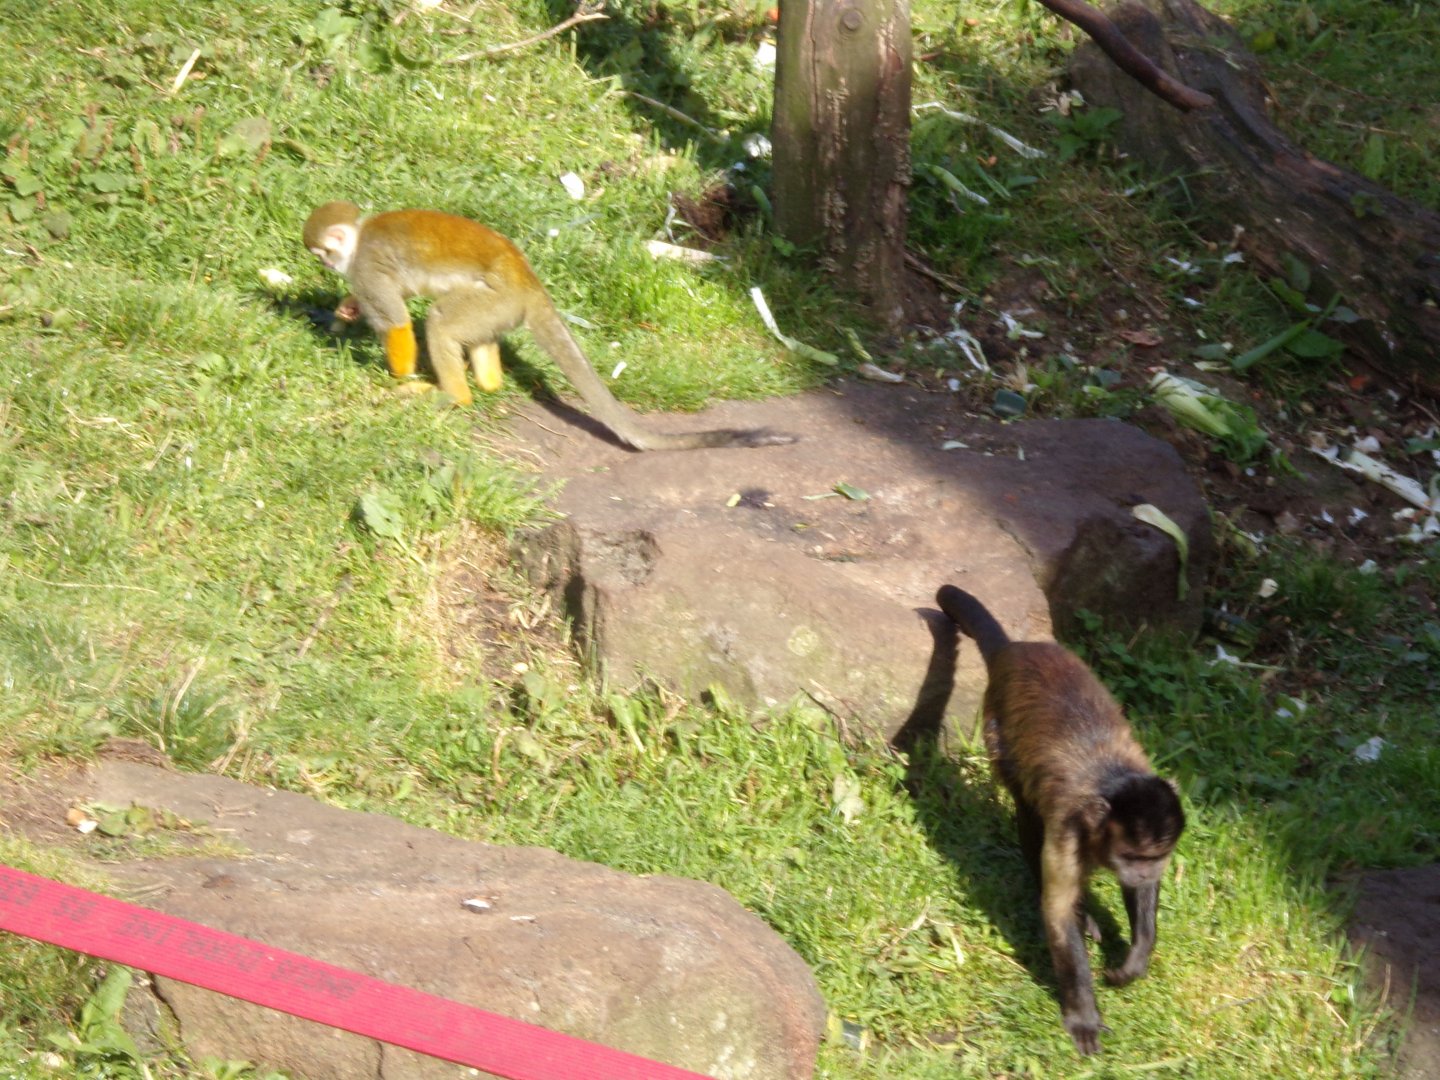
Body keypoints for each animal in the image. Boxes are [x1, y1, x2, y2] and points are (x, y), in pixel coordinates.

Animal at [302, 201, 795, 452]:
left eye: (323, 253)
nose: (325, 264)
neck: (358, 241)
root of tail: (527, 278)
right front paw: (346, 309)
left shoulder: (365, 267)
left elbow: (397, 321)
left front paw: (399, 376)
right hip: (500, 307)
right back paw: (489, 382)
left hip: (497, 296)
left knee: (440, 321)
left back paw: (455, 396)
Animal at [935, 584, 1185, 1055]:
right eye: (1132, 855)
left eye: (1153, 858)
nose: (1144, 871)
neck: (1110, 781)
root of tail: (1015, 650)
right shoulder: (1070, 830)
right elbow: (1057, 912)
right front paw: (1083, 1014)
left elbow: (1141, 896)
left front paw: (1135, 959)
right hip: (998, 727)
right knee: (1028, 811)